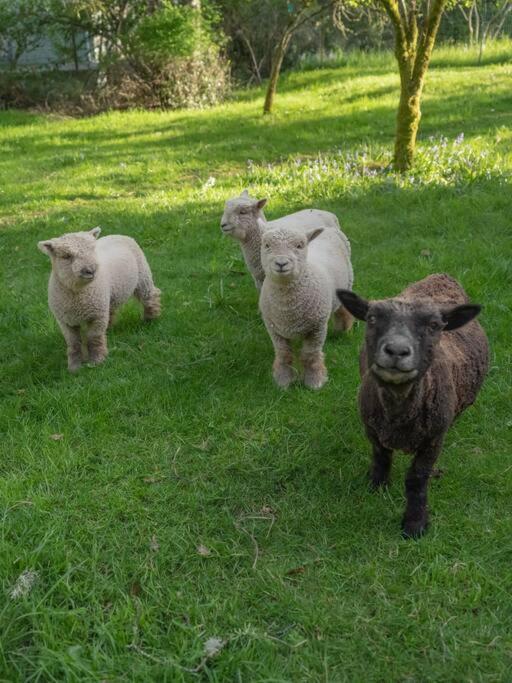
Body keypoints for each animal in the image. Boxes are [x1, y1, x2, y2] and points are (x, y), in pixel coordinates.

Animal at [38, 227, 161, 372]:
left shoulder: (97, 315)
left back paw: (150, 319)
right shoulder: (65, 321)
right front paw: (74, 367)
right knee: (111, 311)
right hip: (108, 297)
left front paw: (96, 362)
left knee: (150, 296)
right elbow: (74, 343)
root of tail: (118, 234)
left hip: (143, 276)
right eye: (66, 256)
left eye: (92, 249)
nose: (90, 270)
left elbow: (94, 338)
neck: (77, 295)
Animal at [260, 226, 352, 390]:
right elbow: (283, 354)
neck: (288, 311)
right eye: (266, 245)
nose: (281, 263)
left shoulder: (317, 328)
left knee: (343, 309)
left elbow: (310, 355)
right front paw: (283, 380)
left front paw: (314, 381)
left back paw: (342, 329)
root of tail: (329, 228)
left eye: (299, 245)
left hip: (348, 282)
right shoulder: (274, 329)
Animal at [338, 274, 490, 540]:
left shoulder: (433, 439)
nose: (397, 351)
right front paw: (376, 487)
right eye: (372, 318)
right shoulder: (373, 430)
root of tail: (441, 276)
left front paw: (415, 523)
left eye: (434, 325)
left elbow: (417, 479)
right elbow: (381, 458)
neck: (398, 414)